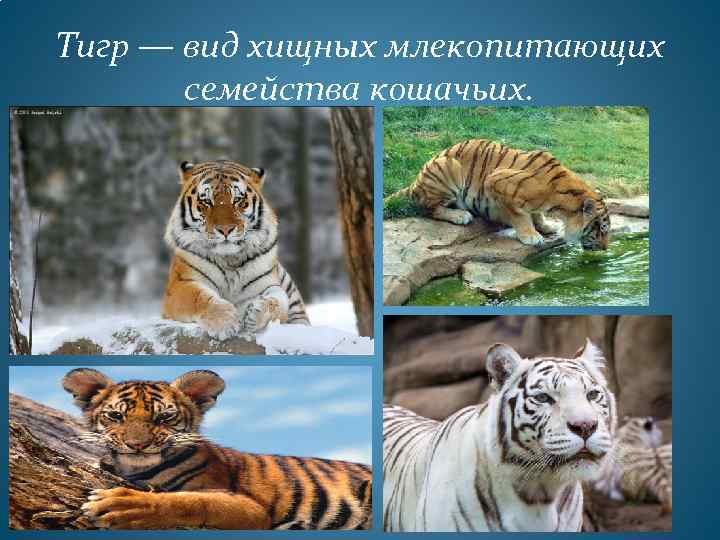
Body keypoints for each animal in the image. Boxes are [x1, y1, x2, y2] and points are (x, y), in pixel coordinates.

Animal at [63, 368, 371, 530]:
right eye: (115, 416)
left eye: (164, 417)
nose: (137, 444)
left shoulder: (251, 508)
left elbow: (189, 501)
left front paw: (119, 505)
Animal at [163, 160, 309, 339]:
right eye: (207, 201)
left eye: (238, 200)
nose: (226, 229)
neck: (229, 259)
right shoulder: (180, 285)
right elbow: (199, 298)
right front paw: (224, 322)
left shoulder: (268, 284)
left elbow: (279, 300)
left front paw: (256, 313)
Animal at [384, 139, 610, 250]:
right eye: (601, 229)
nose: (605, 249)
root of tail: (416, 181)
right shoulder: (496, 181)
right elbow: (520, 215)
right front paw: (531, 236)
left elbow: (536, 213)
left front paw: (545, 226)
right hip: (448, 166)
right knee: (427, 208)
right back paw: (460, 215)